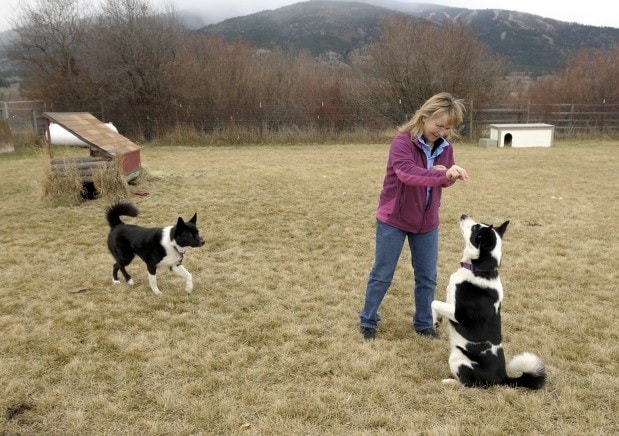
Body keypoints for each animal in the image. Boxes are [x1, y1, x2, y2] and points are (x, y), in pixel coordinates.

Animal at [432, 215, 548, 388]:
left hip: (457, 360)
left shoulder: (459, 314)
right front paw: (437, 320)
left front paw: (433, 320)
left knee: (472, 384)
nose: (463, 215)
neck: (481, 270)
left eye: (475, 227)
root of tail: (503, 378)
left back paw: (450, 382)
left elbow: (434, 302)